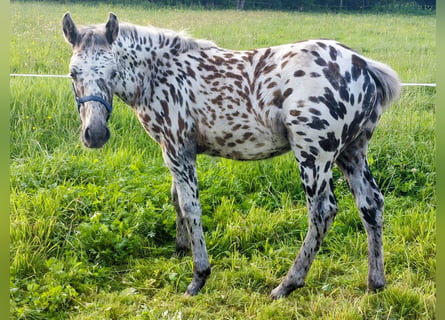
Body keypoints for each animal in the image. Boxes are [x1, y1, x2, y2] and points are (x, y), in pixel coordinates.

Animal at [61, 11, 398, 298]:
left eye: (112, 70)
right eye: (72, 73)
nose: (95, 134)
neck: (159, 74)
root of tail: (363, 66)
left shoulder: (177, 148)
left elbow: (191, 206)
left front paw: (198, 277)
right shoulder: (173, 149)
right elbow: (177, 199)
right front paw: (180, 248)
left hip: (314, 155)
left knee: (322, 211)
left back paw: (287, 284)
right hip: (352, 152)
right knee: (371, 204)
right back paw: (375, 282)